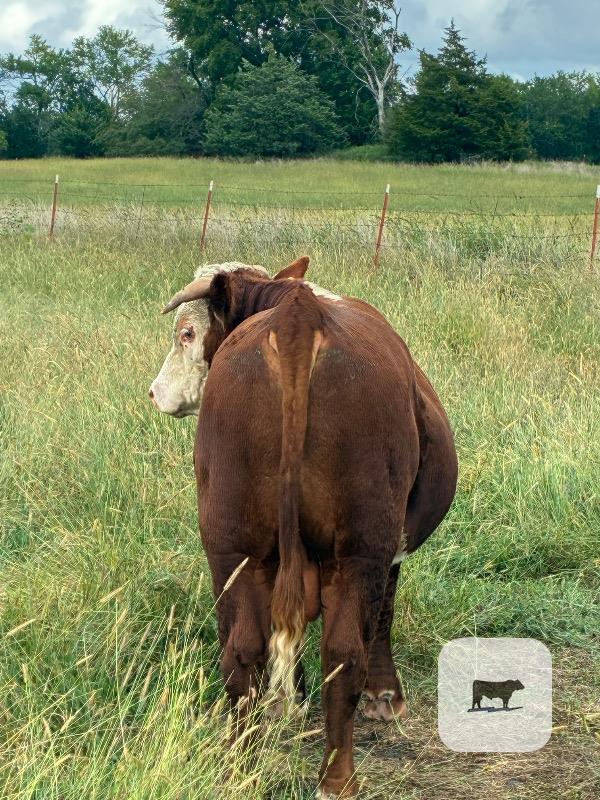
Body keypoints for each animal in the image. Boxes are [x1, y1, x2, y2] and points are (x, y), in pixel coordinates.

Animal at [160, 259, 458, 798]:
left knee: (242, 652)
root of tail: (296, 316)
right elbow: (381, 615)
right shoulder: (386, 551)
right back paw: (338, 779)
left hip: (230, 544)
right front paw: (382, 695)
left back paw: (240, 768)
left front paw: (287, 700)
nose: (154, 391)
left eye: (186, 333)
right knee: (342, 655)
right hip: (359, 547)